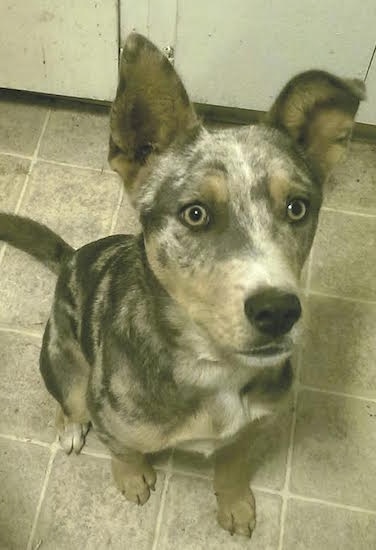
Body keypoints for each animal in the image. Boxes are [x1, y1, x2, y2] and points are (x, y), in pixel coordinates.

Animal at [0, 34, 364, 540]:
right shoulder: (110, 416)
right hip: (60, 357)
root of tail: (70, 258)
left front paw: (234, 503)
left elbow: (232, 462)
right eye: (195, 214)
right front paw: (133, 477)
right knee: (68, 397)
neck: (212, 366)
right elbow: (122, 449)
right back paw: (69, 425)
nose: (278, 311)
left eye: (297, 207)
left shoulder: (251, 426)